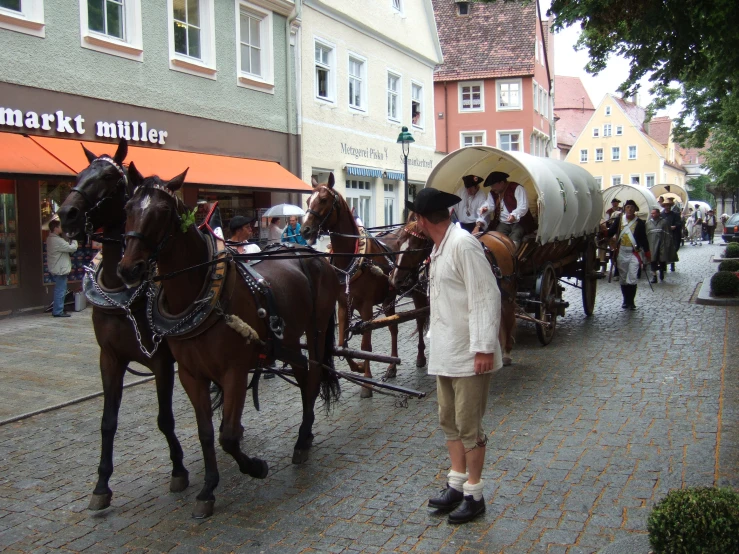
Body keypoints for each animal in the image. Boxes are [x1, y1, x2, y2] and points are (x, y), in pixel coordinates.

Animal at [56, 140, 189, 512]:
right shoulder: (110, 358)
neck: (123, 291)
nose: (66, 214)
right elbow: (108, 421)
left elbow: (165, 418)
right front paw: (101, 484)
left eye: (110, 180)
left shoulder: (161, 361)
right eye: (79, 173)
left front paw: (179, 468)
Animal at [118, 166, 342, 516]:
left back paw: (302, 439)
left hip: (316, 330)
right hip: (289, 338)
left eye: (163, 211)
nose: (130, 268)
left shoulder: (234, 372)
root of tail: (316, 255)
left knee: (314, 375)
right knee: (305, 373)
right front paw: (208, 488)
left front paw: (255, 467)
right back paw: (304, 438)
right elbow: (207, 433)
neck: (201, 293)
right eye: (127, 208)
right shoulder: (191, 375)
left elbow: (228, 436)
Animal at [300, 175, 428, 394]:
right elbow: (342, 345)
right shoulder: (343, 305)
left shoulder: (366, 307)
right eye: (308, 201)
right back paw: (392, 366)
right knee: (393, 328)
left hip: (418, 292)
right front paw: (358, 367)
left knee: (420, 320)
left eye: (323, 200)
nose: (305, 229)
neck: (351, 259)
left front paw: (367, 382)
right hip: (388, 299)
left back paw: (420, 357)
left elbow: (366, 345)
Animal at [390, 222, 516, 364]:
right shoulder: (422, 298)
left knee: (508, 314)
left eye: (413, 249)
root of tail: (499, 236)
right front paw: (422, 356)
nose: (394, 279)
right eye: (398, 243)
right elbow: (421, 321)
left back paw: (506, 351)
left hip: (508, 291)